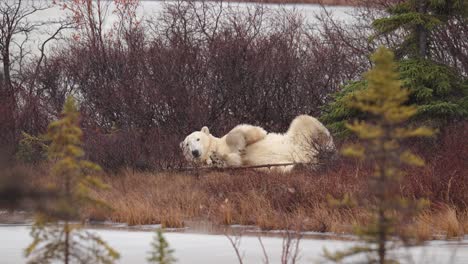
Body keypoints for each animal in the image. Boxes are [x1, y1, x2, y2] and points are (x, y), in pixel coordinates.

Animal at [180, 114, 336, 172]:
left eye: (197, 138)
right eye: (187, 144)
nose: (195, 152)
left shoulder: (228, 138)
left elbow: (244, 131)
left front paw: (240, 146)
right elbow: (232, 163)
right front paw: (217, 159)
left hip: (300, 134)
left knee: (305, 121)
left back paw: (329, 150)